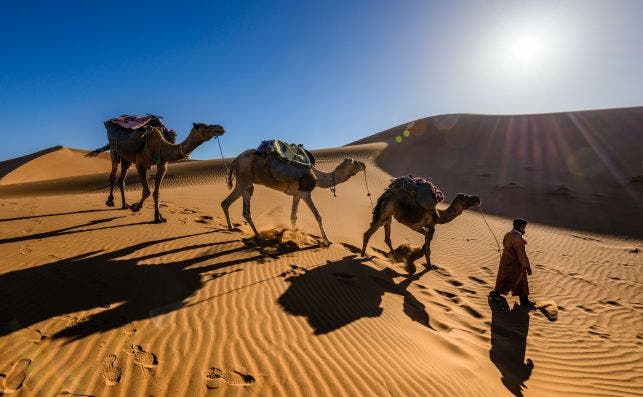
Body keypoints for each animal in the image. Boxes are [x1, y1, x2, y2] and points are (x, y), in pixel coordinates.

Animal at [87, 122, 224, 221]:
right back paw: (110, 201)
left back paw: (124, 204)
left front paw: (158, 217)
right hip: (114, 151)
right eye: (205, 126)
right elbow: (147, 191)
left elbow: (156, 193)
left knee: (122, 180)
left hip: (127, 159)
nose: (221, 128)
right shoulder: (140, 165)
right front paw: (136, 207)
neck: (161, 146)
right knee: (113, 176)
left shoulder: (162, 165)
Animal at [223, 147, 364, 243]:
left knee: (226, 202)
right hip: (246, 179)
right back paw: (258, 235)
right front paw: (327, 241)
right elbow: (318, 216)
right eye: (354, 162)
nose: (363, 165)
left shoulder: (297, 194)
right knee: (246, 211)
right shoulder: (305, 193)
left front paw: (294, 235)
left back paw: (231, 227)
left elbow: (293, 216)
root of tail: (236, 159)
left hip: (241, 183)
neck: (317, 176)